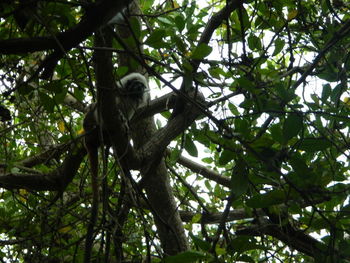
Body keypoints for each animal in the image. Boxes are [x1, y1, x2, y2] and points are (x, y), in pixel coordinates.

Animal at [82, 72, 150, 263]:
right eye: (135, 84)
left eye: (141, 86)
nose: (139, 88)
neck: (129, 95)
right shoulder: (114, 92)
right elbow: (100, 106)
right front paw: (119, 118)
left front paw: (125, 124)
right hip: (91, 124)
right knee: (95, 111)